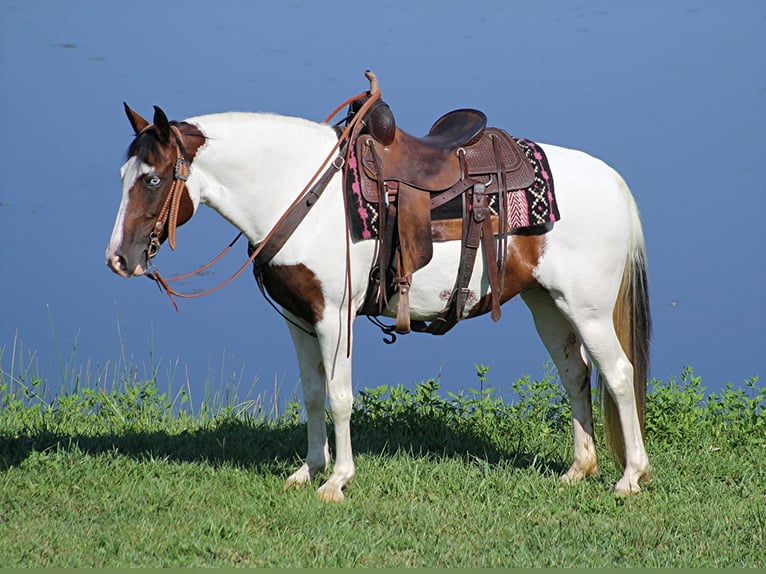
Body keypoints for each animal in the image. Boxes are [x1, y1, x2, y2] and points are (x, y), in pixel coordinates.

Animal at [105, 73, 652, 504]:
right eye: (123, 174)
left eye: (152, 180)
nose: (119, 260)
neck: (299, 192)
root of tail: (613, 180)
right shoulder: (298, 318)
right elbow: (312, 394)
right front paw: (307, 470)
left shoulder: (334, 316)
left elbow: (340, 395)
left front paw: (337, 480)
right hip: (549, 304)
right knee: (576, 374)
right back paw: (578, 469)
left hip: (588, 309)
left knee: (619, 374)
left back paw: (630, 476)